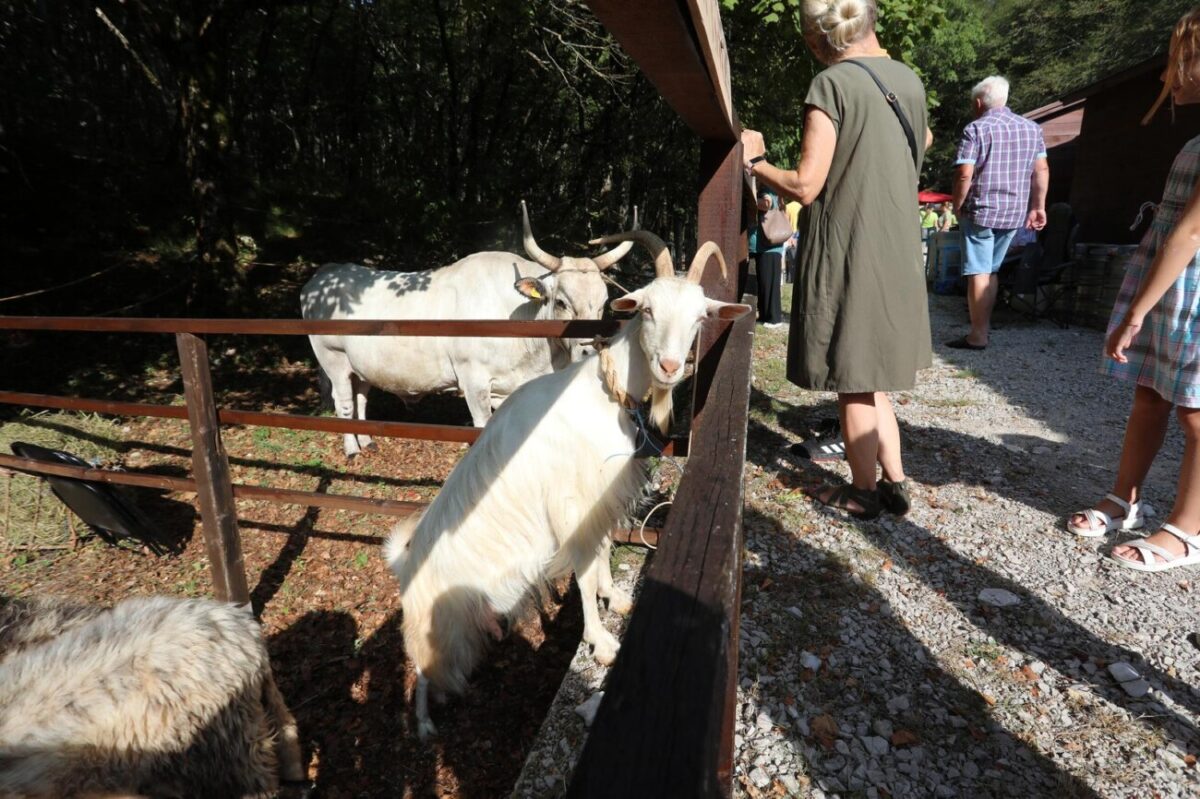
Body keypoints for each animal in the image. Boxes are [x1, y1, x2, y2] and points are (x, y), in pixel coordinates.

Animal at [300, 202, 638, 458]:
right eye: (562, 302)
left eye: (603, 304)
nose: (588, 349)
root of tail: (326, 274)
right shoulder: (473, 382)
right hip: (333, 359)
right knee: (344, 400)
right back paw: (351, 449)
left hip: (361, 365)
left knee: (360, 397)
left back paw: (368, 441)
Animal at [384, 229, 744, 734]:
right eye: (647, 309)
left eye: (700, 317)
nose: (671, 367)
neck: (600, 392)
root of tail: (402, 564)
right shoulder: (569, 504)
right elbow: (583, 572)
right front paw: (602, 641)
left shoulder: (601, 496)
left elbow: (604, 550)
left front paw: (617, 598)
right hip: (426, 628)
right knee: (417, 668)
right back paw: (423, 725)